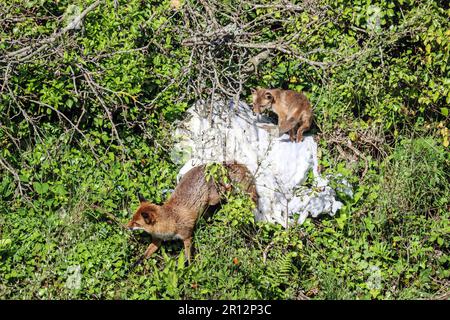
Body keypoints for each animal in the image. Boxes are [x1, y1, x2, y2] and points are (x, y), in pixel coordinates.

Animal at [125, 162, 256, 264]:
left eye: (136, 223)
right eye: (132, 219)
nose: (125, 227)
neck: (169, 221)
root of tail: (211, 164)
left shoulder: (187, 236)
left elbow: (188, 257)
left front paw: (188, 269)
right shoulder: (157, 240)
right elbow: (144, 255)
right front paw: (133, 266)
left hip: (215, 198)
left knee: (228, 188)